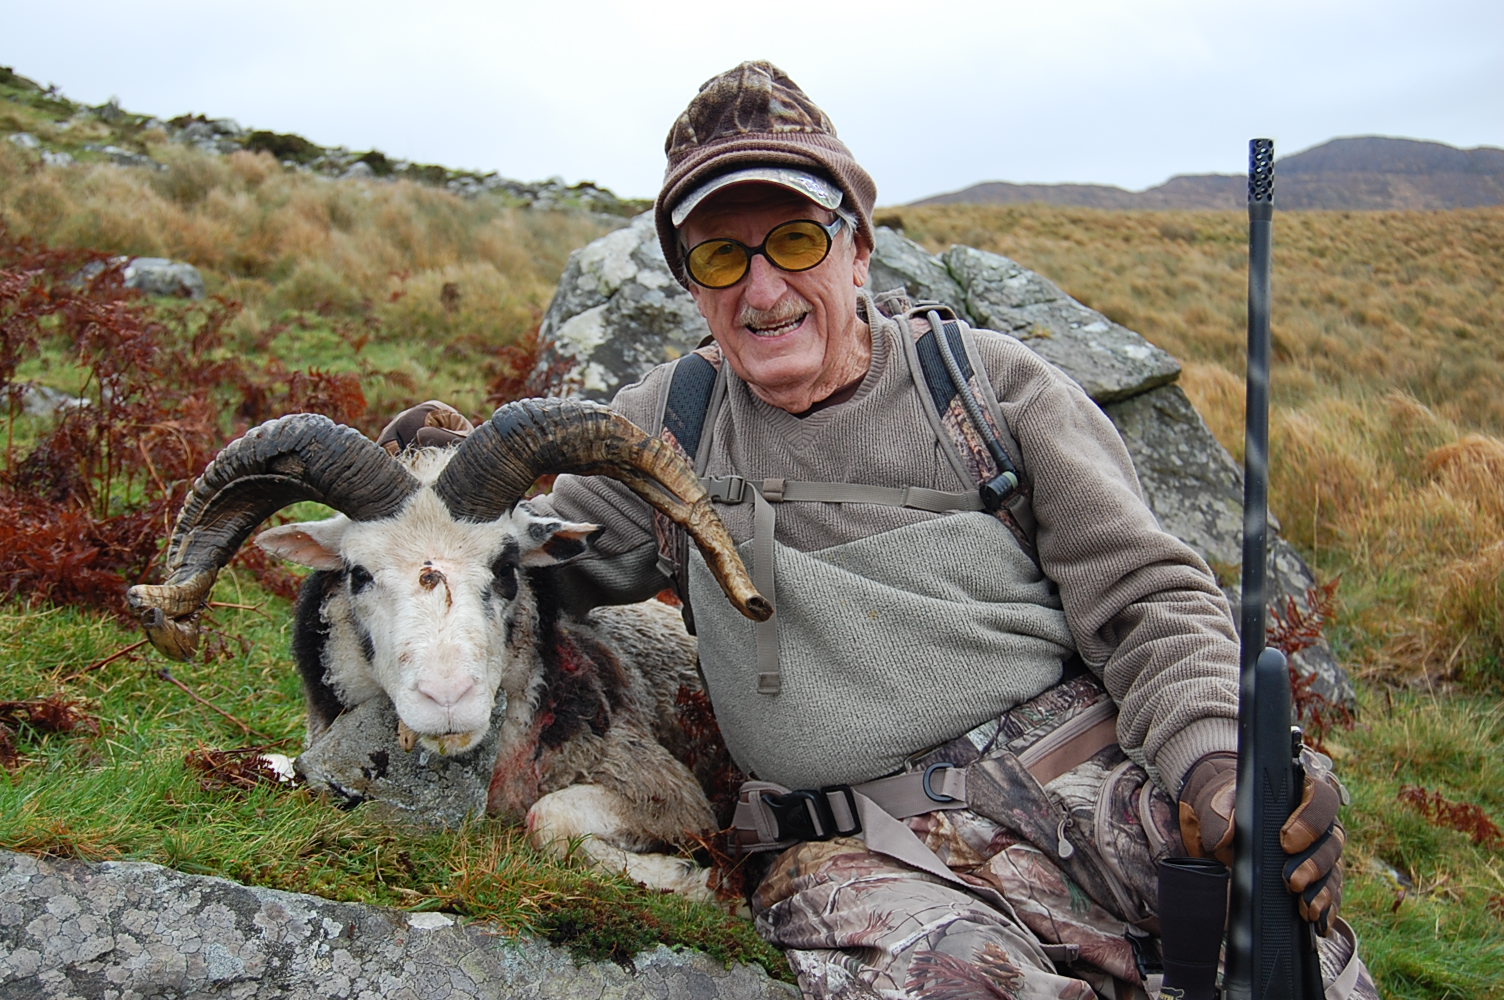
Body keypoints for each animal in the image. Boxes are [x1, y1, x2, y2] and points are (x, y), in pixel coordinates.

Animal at [126, 397, 770, 900]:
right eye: (357, 573)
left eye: (508, 566)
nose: (448, 700)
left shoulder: (671, 793)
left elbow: (549, 818)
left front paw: (693, 882)